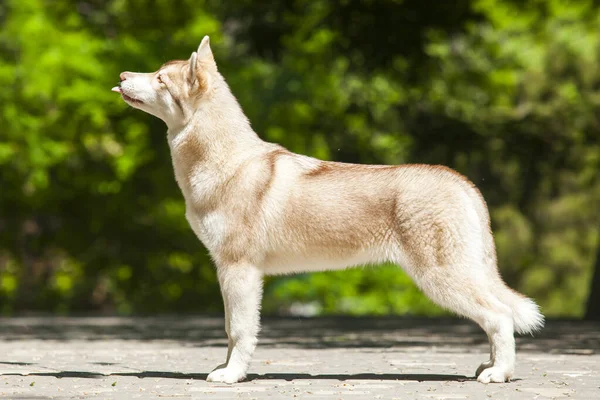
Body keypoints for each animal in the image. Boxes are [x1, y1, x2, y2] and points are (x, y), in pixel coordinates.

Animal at [112, 36, 544, 382]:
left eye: (160, 79)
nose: (121, 74)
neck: (224, 161)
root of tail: (462, 182)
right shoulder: (230, 271)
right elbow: (230, 330)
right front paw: (226, 368)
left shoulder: (239, 269)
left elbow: (239, 330)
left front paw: (231, 376)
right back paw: (489, 367)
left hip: (441, 277)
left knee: (500, 318)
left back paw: (499, 374)